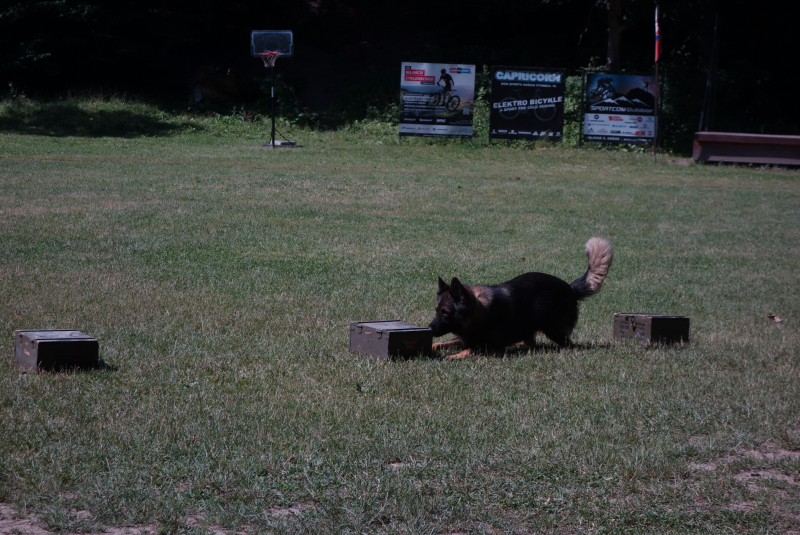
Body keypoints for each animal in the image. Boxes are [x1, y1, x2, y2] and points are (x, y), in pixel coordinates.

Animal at [432, 240, 612, 360]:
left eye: (445, 312)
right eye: (436, 311)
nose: (430, 329)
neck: (481, 311)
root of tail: (569, 287)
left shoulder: (491, 346)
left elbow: (470, 350)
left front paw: (452, 356)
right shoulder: (466, 337)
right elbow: (441, 343)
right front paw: (434, 347)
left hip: (552, 328)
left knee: (568, 345)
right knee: (530, 341)